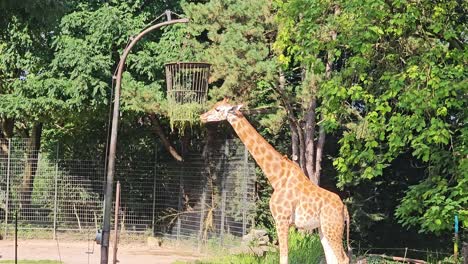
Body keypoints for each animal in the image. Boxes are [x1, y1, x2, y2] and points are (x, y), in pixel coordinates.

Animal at [200, 99, 352, 264]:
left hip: (332, 227)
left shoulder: (282, 219)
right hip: (323, 228)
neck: (277, 178)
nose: (202, 117)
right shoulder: (284, 221)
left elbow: (284, 257)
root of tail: (344, 209)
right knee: (332, 258)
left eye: (217, 109)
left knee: (343, 258)